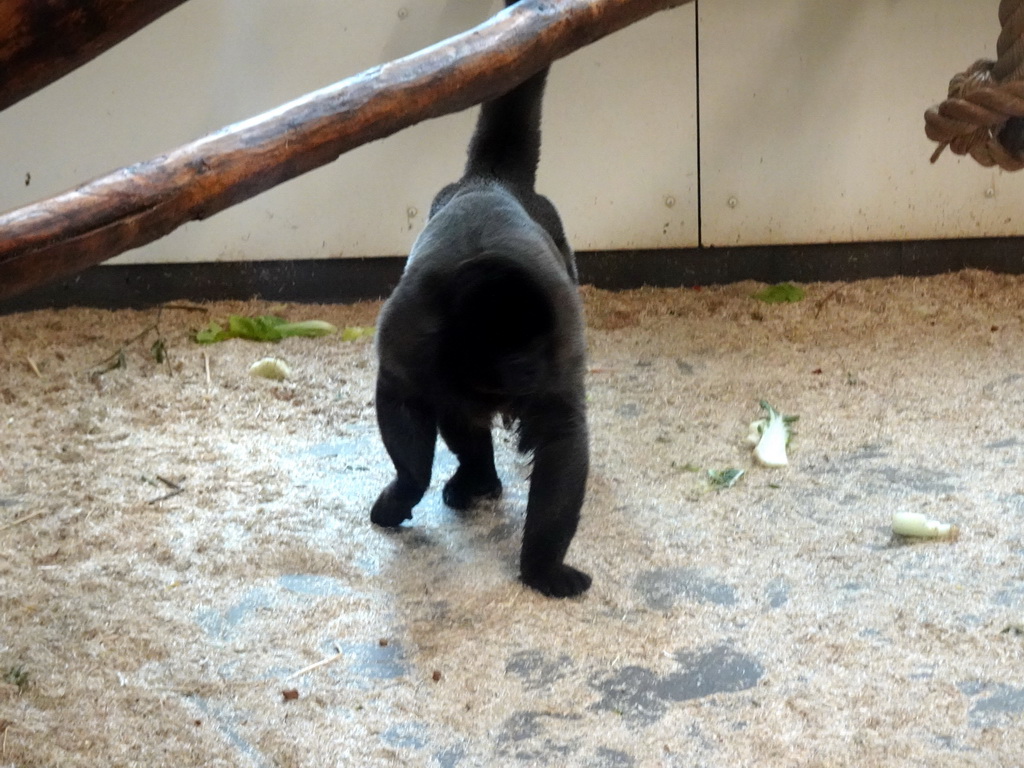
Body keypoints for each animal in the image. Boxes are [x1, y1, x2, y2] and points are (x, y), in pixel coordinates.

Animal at [370, 1, 593, 602]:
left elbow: (562, 432)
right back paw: (479, 478)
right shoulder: (410, 335)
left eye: (534, 352)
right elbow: (402, 398)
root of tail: (491, 181)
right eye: (512, 354)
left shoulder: (561, 334)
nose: (530, 370)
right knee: (456, 410)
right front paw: (405, 491)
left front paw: (541, 566)